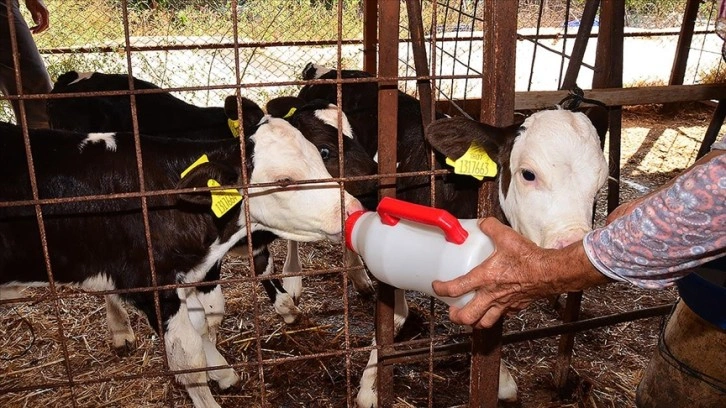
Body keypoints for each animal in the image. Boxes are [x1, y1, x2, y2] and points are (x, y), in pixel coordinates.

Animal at [0, 118, 364, 408]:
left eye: (321, 157)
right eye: (284, 180)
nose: (352, 209)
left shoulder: (188, 276)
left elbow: (204, 321)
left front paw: (221, 370)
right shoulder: (151, 286)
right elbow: (188, 357)